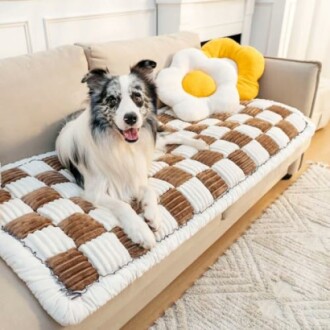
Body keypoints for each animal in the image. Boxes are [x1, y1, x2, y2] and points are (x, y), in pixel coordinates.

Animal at [55, 60, 208, 249]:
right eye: (112, 99)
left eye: (137, 96)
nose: (131, 118)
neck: (123, 147)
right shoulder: (94, 191)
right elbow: (123, 206)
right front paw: (141, 231)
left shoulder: (136, 173)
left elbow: (149, 190)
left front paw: (153, 215)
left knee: (173, 136)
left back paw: (200, 143)